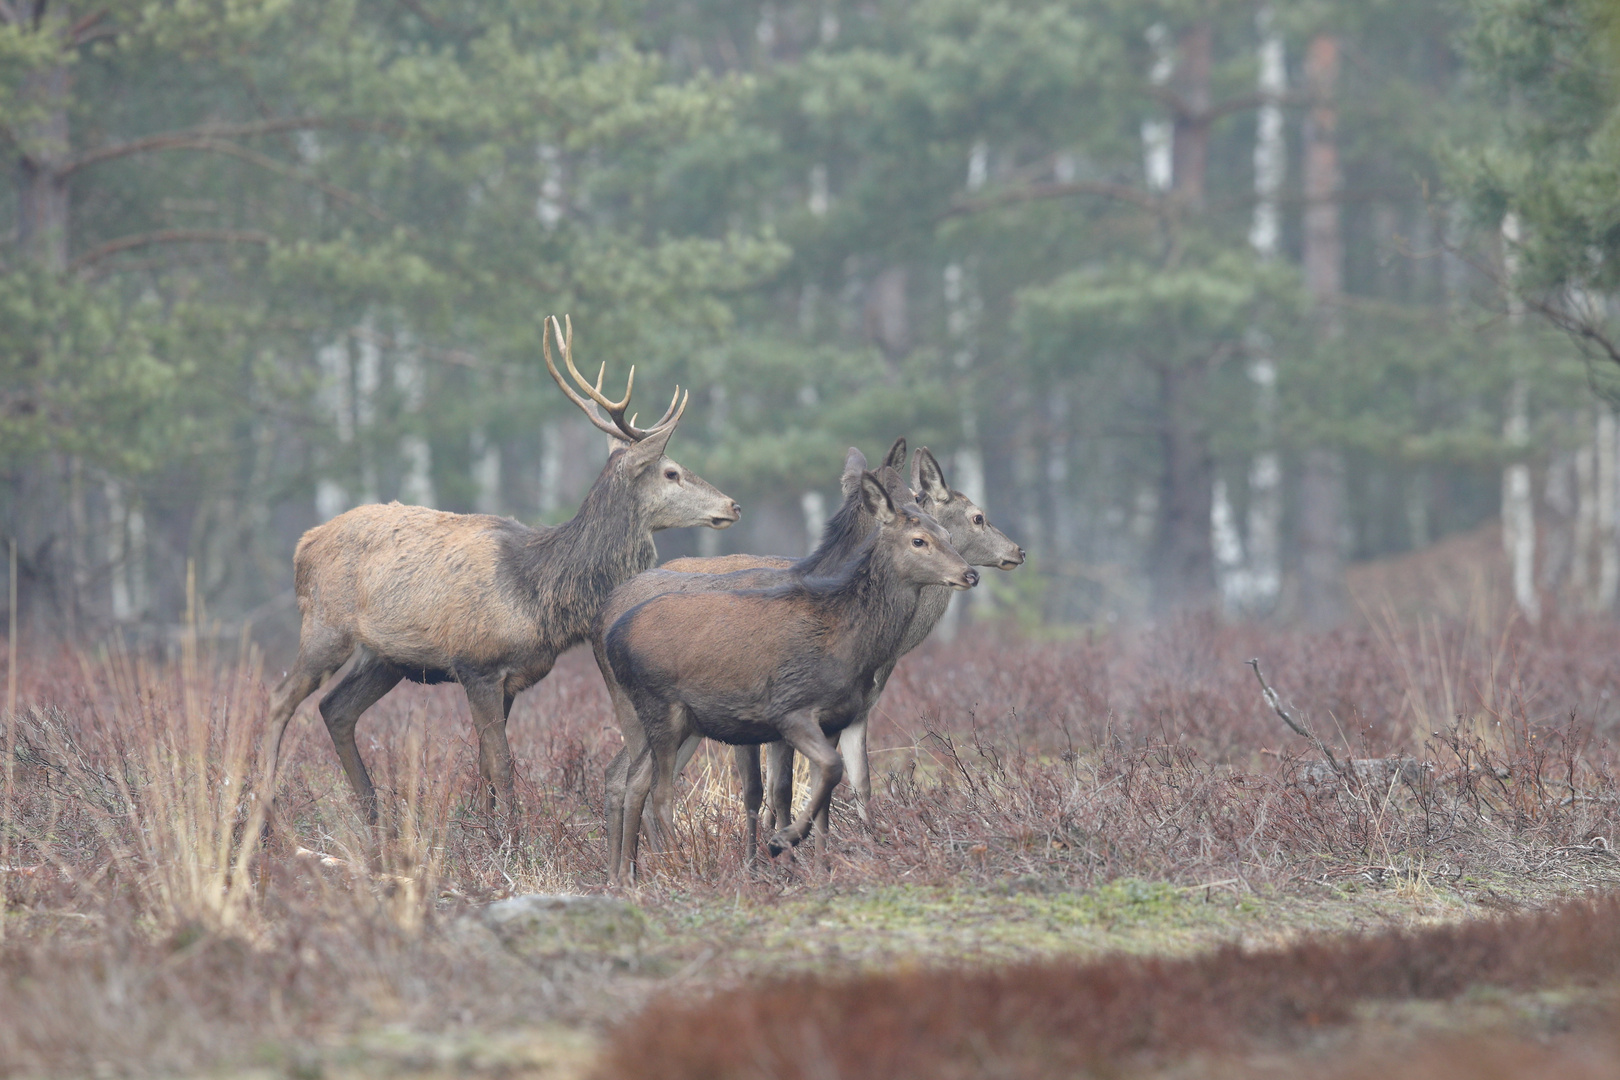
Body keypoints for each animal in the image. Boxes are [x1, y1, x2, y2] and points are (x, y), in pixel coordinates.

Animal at [259, 317, 741, 822]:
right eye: (672, 472)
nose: (732, 504)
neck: (541, 595)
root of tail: (302, 546)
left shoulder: (511, 679)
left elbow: (487, 765)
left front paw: (488, 826)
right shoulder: (478, 666)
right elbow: (502, 763)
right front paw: (511, 832)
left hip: (386, 657)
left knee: (335, 709)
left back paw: (373, 811)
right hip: (325, 627)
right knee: (278, 698)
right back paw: (265, 807)